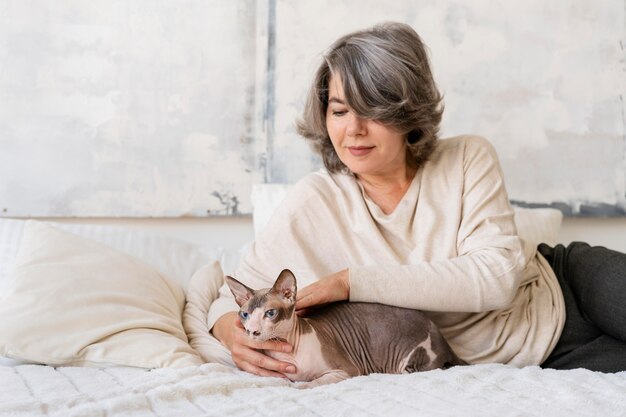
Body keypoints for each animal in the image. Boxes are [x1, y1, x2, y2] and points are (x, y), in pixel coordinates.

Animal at [224, 266, 464, 386]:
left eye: (270, 313)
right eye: (245, 314)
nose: (252, 331)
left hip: (409, 358)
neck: (290, 354)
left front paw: (303, 384)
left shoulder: (347, 370)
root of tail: (443, 339)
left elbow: (313, 382)